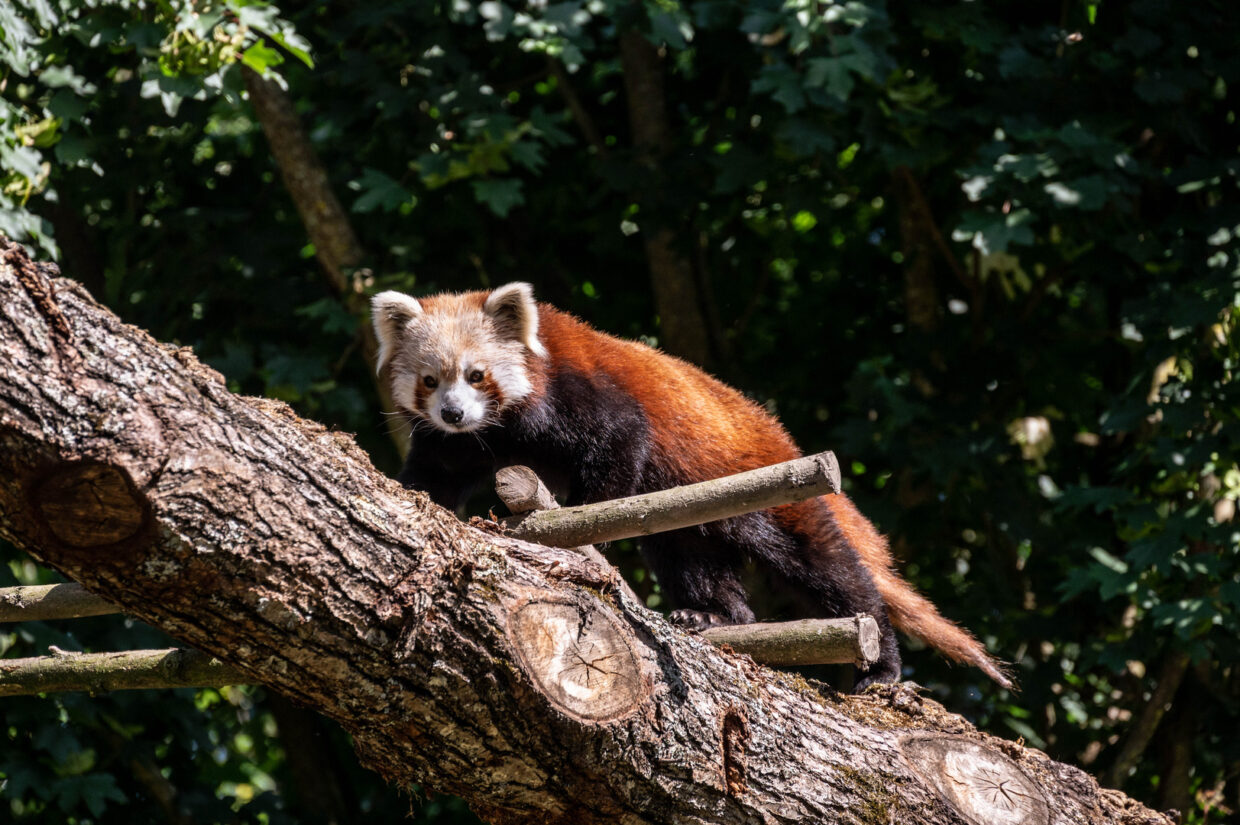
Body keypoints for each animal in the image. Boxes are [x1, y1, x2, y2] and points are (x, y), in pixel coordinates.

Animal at [372, 282, 1011, 689]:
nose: (454, 412)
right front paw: (415, 495)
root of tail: (781, 439)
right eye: (430, 381)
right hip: (694, 517)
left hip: (775, 488)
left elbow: (617, 453)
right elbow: (436, 472)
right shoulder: (465, 443)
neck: (502, 427)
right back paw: (713, 617)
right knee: (690, 557)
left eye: (476, 374)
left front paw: (580, 523)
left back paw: (880, 663)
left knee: (831, 569)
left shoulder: (586, 396)